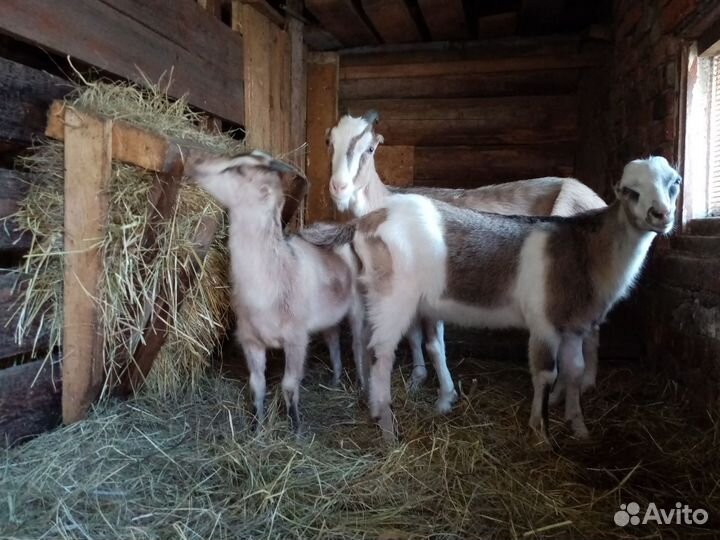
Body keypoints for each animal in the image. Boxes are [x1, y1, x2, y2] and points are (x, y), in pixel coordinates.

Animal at [186, 151, 365, 430]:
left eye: (237, 170)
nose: (195, 165)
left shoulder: (296, 339)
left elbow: (289, 386)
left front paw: (296, 427)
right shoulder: (250, 340)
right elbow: (256, 386)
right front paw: (256, 426)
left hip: (358, 306)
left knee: (358, 347)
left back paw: (361, 387)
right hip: (329, 316)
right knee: (333, 339)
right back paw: (335, 380)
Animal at [305, 156, 681, 440]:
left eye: (675, 183)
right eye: (630, 191)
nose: (660, 215)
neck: (584, 250)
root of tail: (368, 220)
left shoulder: (573, 325)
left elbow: (573, 371)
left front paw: (578, 426)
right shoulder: (544, 323)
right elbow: (545, 373)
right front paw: (540, 433)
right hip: (394, 296)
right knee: (380, 352)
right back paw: (386, 427)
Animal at [325, 111, 607, 406]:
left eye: (370, 148)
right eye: (329, 142)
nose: (339, 188)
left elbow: (433, 344)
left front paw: (446, 396)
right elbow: (413, 334)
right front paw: (417, 379)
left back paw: (567, 390)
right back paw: (585, 383)